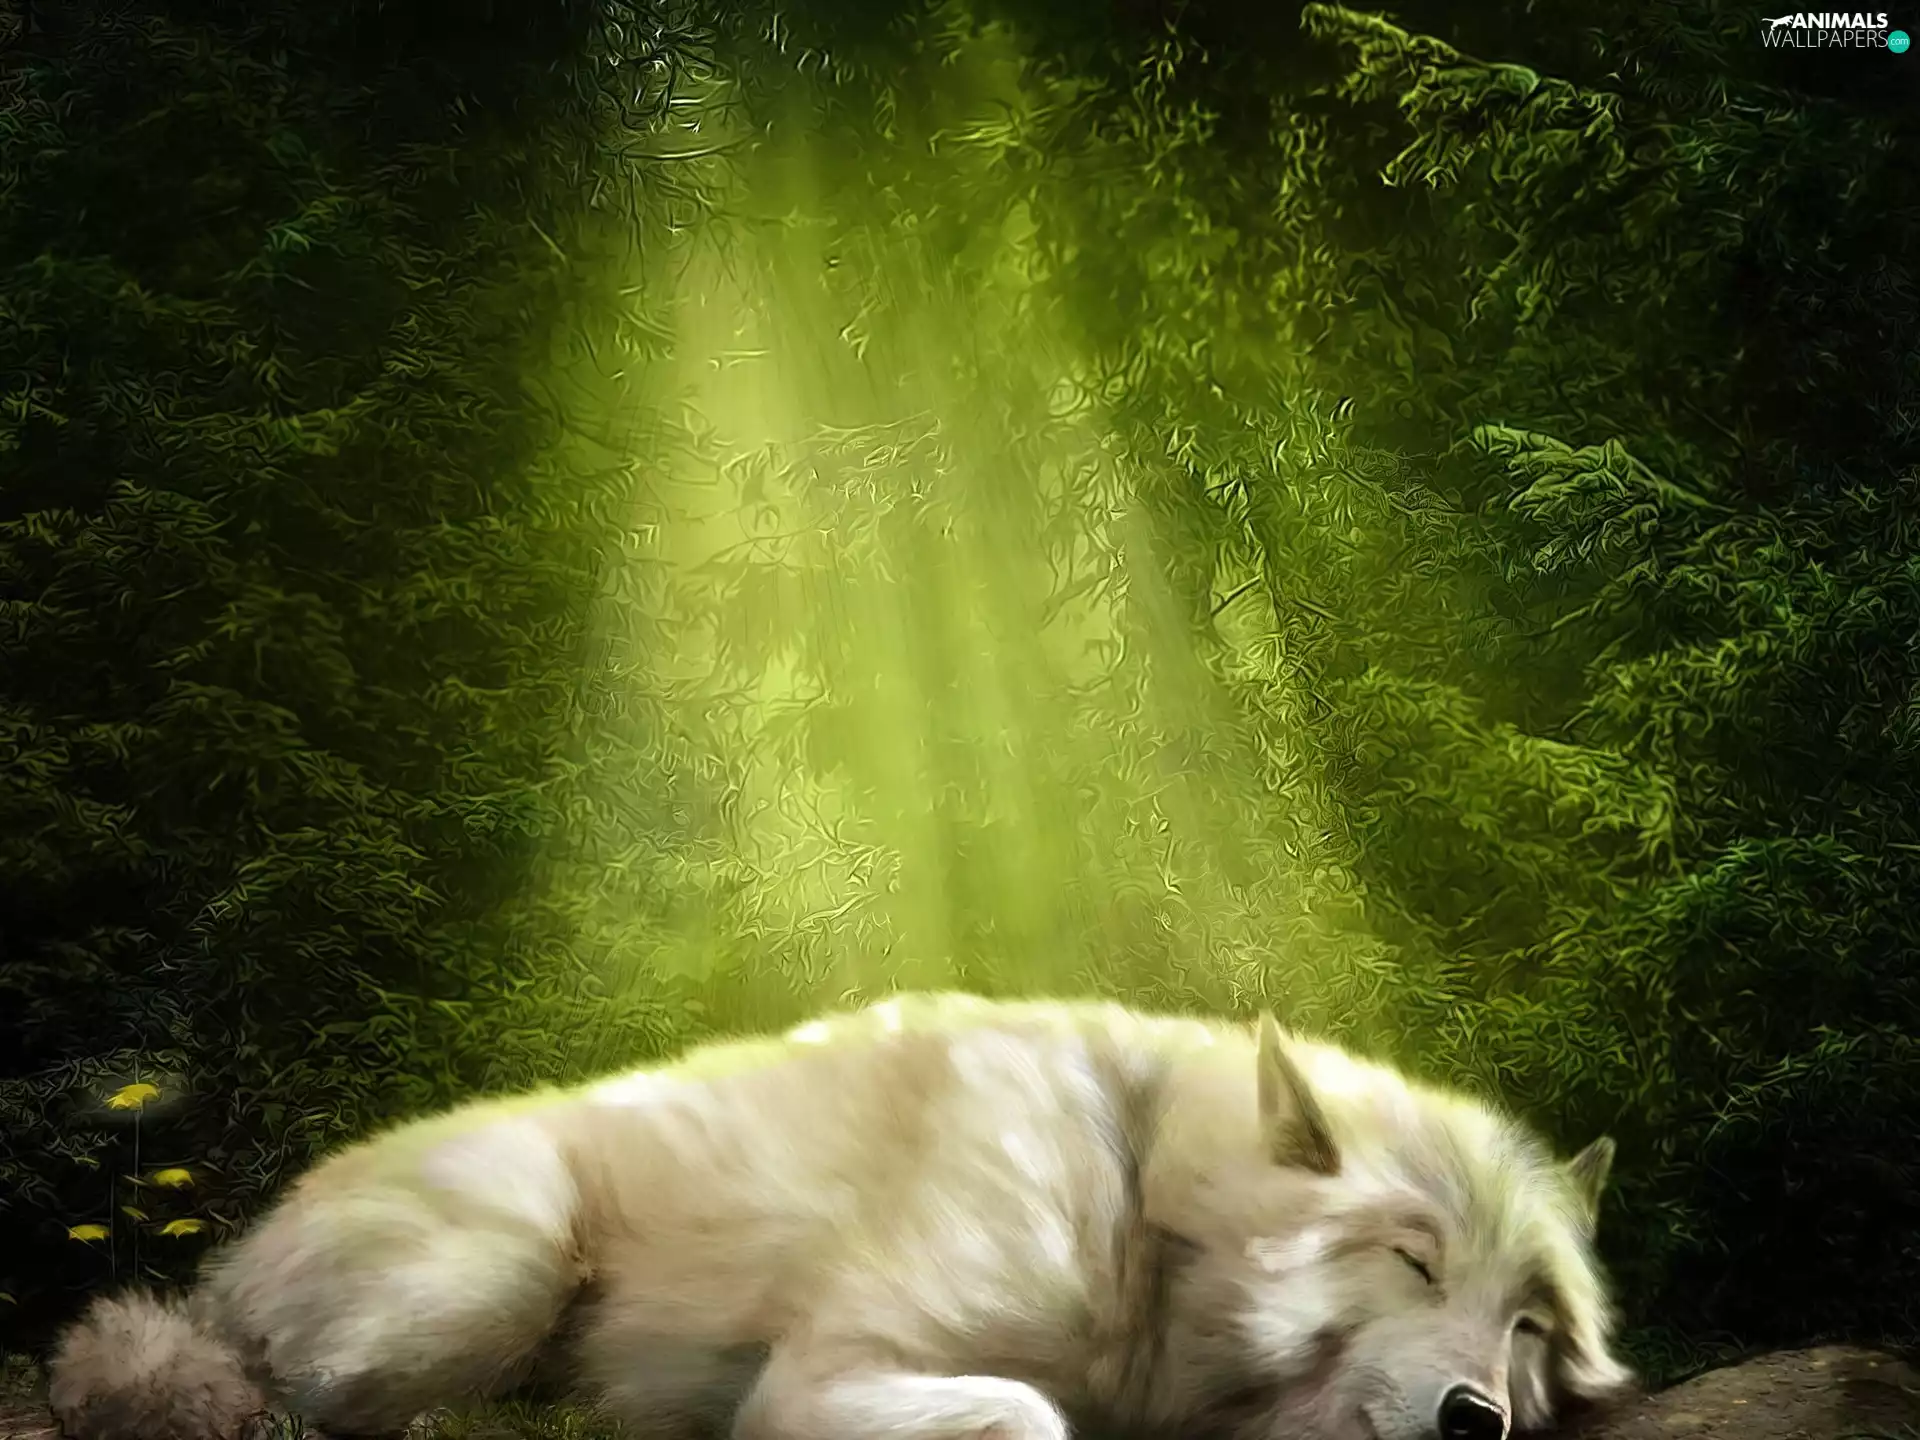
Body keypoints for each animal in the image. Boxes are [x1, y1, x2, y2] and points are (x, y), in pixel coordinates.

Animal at [47, 993, 1632, 1440]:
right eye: (1411, 1259)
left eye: (1529, 1325)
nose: (1480, 1422)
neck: (1139, 1208)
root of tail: (229, 1259)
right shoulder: (818, 1383)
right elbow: (1030, 1416)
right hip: (500, 1271)